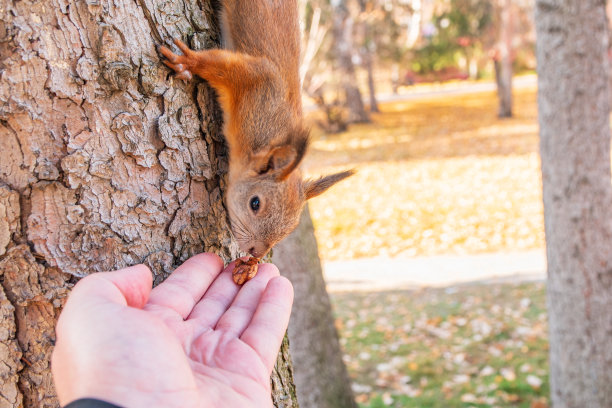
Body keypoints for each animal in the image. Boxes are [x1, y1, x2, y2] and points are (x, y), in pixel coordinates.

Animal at [160, 0, 352, 258]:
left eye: (292, 225)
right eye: (255, 203)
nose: (257, 253)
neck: (270, 129)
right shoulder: (256, 80)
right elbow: (221, 65)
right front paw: (189, 61)